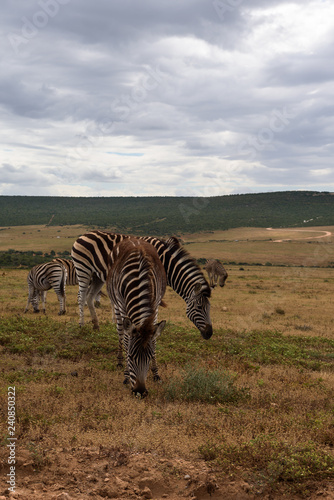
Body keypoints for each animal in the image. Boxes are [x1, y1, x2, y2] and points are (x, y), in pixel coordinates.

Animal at [71, 232, 211, 338]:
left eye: (209, 308)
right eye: (199, 307)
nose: (209, 334)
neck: (166, 264)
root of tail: (83, 235)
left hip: (96, 276)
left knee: (89, 297)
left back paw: (96, 325)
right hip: (83, 269)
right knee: (81, 297)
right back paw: (81, 324)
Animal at [107, 236, 167, 396]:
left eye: (148, 358)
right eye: (131, 357)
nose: (140, 392)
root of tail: (133, 239)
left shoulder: (155, 306)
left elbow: (154, 340)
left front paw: (156, 373)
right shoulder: (123, 307)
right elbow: (127, 340)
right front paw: (126, 376)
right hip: (116, 305)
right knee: (121, 332)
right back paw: (120, 362)